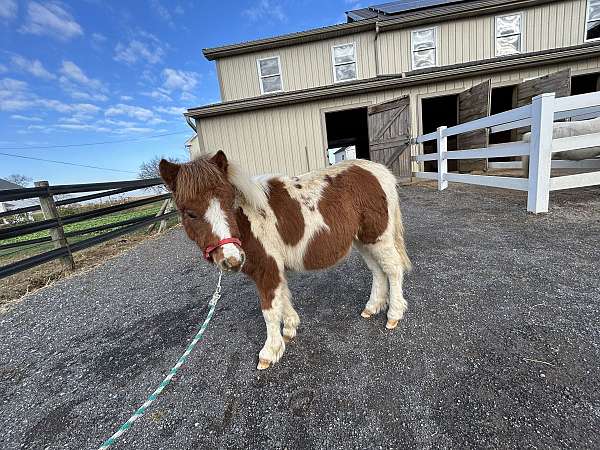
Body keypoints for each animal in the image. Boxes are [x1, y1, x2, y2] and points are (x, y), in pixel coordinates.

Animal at [159, 151, 412, 370]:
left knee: (393, 270)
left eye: (229, 202)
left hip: (378, 237)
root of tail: (379, 171)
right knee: (378, 271)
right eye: (190, 213)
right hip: (363, 241)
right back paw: (372, 307)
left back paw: (393, 315)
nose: (232, 260)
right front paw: (290, 329)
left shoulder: (267, 269)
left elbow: (269, 309)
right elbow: (283, 298)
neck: (248, 218)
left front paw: (269, 352)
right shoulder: (274, 269)